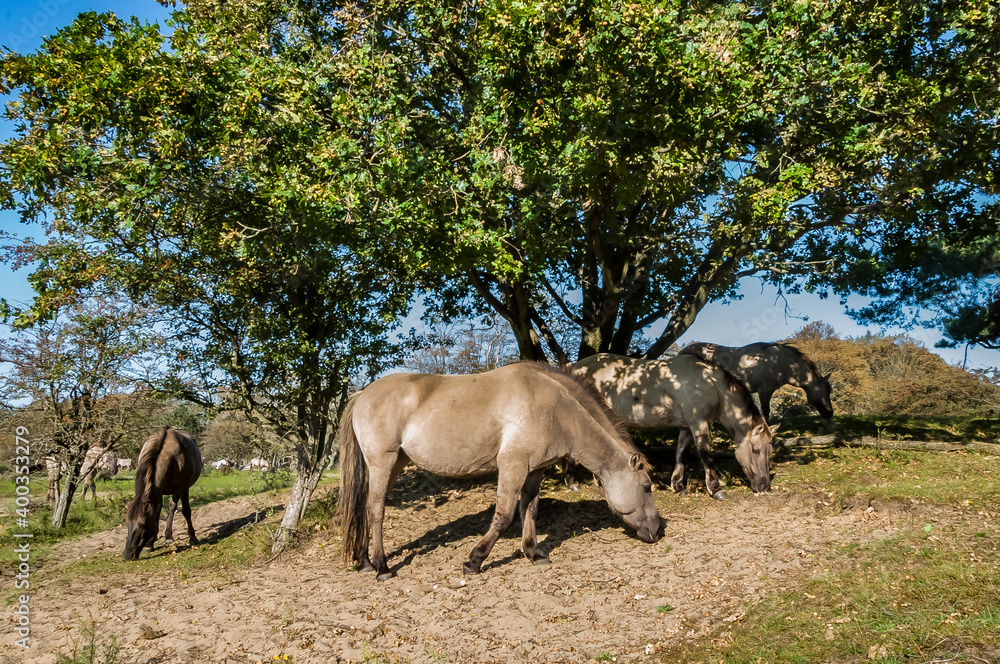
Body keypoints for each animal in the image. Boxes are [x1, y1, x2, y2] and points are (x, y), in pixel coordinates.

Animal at [123, 426, 203, 561]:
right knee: (170, 507)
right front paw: (149, 544)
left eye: (142, 525)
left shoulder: (183, 488)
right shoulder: (157, 491)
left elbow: (186, 511)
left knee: (173, 507)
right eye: (127, 524)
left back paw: (170, 537)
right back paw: (168, 537)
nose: (127, 555)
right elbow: (156, 513)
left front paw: (192, 537)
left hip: (177, 490)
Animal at [338, 361, 662, 580]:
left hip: (395, 464)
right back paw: (382, 567)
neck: (556, 409)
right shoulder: (512, 466)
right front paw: (473, 561)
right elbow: (504, 515)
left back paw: (365, 561)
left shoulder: (534, 471)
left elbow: (529, 510)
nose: (657, 530)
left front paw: (533, 552)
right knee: (375, 510)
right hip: (383, 462)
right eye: (646, 486)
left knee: (365, 508)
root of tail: (362, 394)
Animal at [572, 353, 775, 499]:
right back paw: (573, 482)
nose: (764, 485)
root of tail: (576, 367)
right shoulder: (698, 424)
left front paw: (678, 486)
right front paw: (716, 489)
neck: (709, 383)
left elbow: (681, 454)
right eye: (756, 450)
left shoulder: (686, 428)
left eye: (769, 450)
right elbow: (706, 455)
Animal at [679, 342, 833, 421]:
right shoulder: (764, 390)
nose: (829, 413)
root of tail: (682, 352)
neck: (780, 362)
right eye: (827, 391)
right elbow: (765, 413)